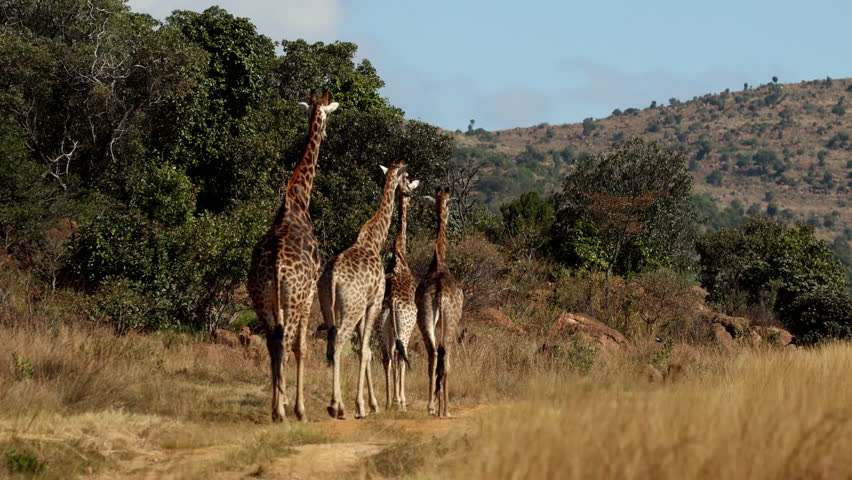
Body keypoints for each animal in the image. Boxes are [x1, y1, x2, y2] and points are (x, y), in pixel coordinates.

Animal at [247, 91, 338, 422]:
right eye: (329, 115)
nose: (325, 133)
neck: (299, 199)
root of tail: (275, 265)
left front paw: (284, 402)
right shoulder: (310, 292)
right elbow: (302, 347)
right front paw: (298, 408)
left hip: (261, 299)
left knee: (272, 343)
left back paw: (277, 408)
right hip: (293, 299)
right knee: (286, 343)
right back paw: (284, 411)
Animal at [318, 162, 419, 419]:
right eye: (407, 178)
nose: (408, 192)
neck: (375, 240)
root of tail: (332, 276)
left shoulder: (365, 307)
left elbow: (367, 352)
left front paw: (372, 404)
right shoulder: (373, 302)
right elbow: (365, 351)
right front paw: (363, 406)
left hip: (328, 307)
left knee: (328, 343)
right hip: (353, 309)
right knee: (341, 344)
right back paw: (338, 407)